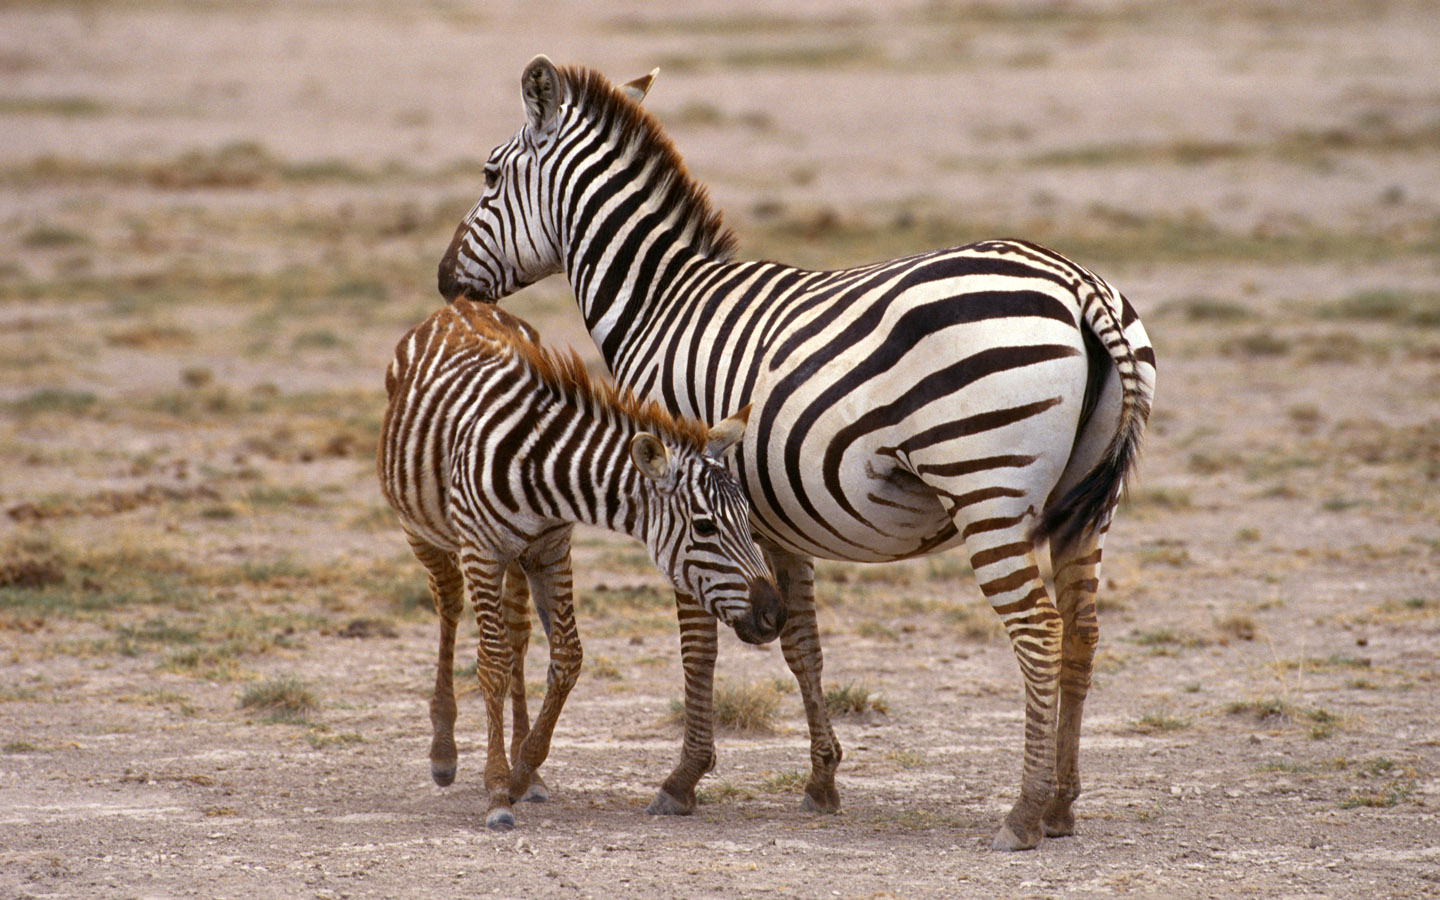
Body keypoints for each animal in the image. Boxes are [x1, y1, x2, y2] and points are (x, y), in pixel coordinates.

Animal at [377, 296, 783, 829]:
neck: (538, 468)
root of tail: (460, 305)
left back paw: (526, 770)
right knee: (449, 605)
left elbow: (566, 656)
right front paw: (496, 789)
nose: (774, 615)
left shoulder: (552, 548)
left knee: (517, 635)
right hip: (421, 529)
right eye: (705, 527)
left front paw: (523, 770)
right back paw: (444, 751)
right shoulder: (482, 551)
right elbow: (490, 661)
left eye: (746, 517)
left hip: (519, 559)